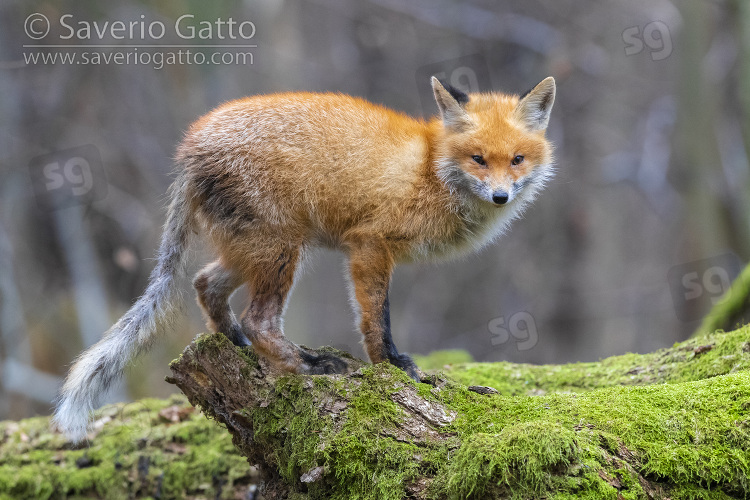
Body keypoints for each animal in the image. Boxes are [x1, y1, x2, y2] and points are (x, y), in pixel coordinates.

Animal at [54, 75, 560, 442]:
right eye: (478, 159)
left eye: (517, 159)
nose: (500, 196)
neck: (431, 168)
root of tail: (189, 147)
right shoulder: (370, 244)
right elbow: (376, 320)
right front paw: (392, 368)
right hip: (281, 251)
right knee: (258, 319)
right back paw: (305, 367)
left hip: (255, 250)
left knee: (205, 284)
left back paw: (242, 347)